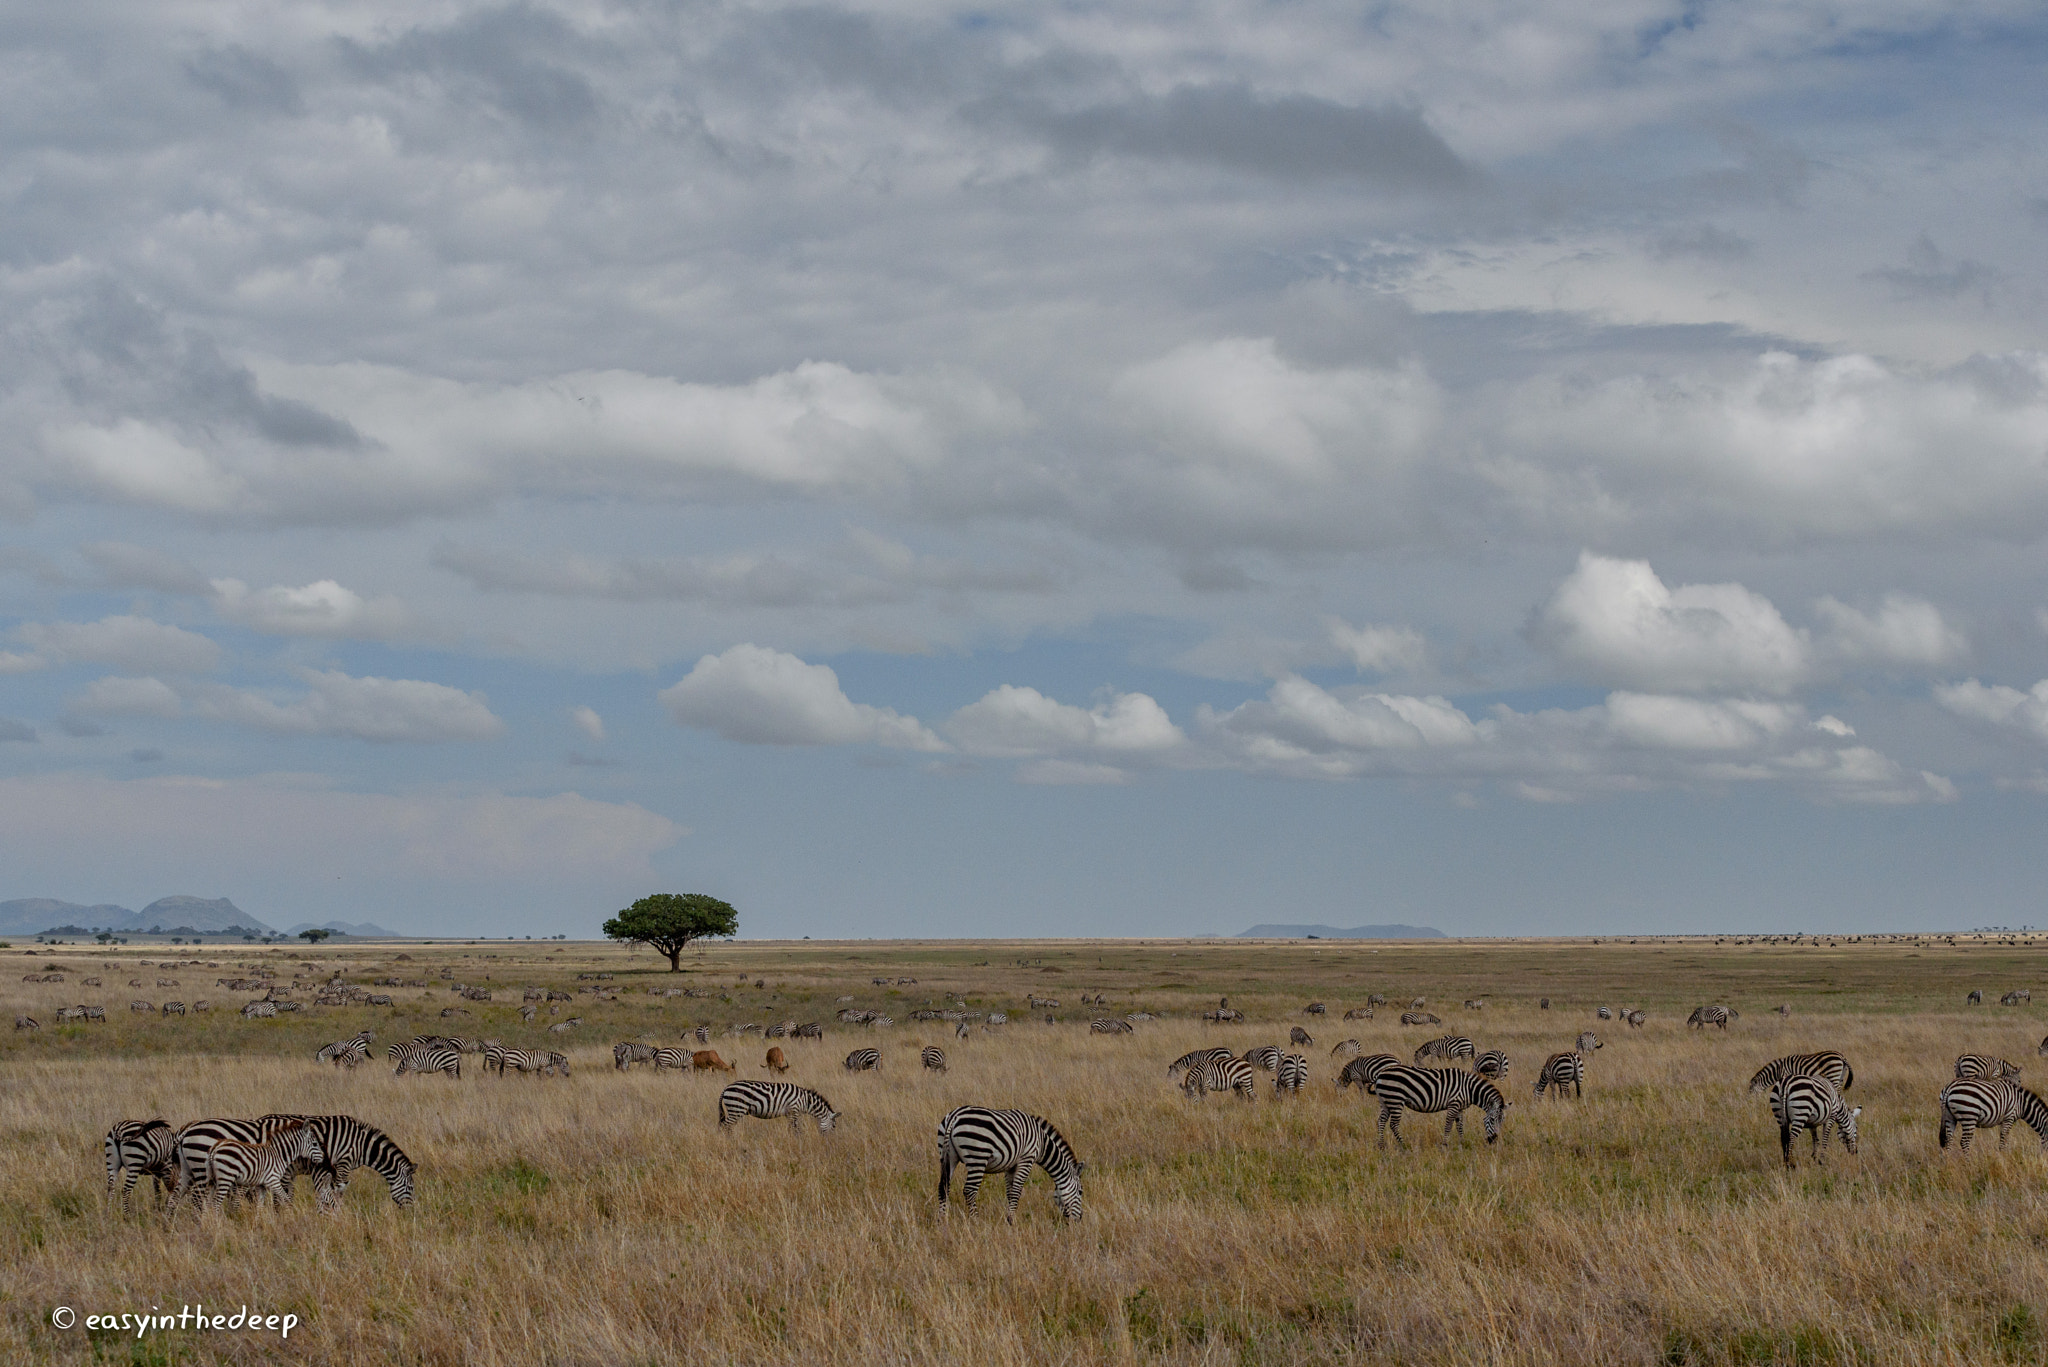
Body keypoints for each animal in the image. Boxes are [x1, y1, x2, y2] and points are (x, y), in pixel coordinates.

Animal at [933, 1106, 1081, 1221]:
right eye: (1080, 1192)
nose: (1080, 1219)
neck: (1042, 1143)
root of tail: (954, 1116)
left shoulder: (1011, 1165)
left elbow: (1010, 1192)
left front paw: (1008, 1218)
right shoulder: (1026, 1159)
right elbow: (1016, 1191)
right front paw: (1012, 1220)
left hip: (948, 1156)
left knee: (943, 1187)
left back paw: (942, 1220)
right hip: (977, 1156)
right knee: (969, 1190)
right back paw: (975, 1220)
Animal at [1376, 1065, 1507, 1147]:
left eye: (1502, 1121)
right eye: (1492, 1119)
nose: (1493, 1140)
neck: (1469, 1089)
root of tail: (1380, 1074)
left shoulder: (1460, 1107)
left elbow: (1460, 1126)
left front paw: (1462, 1143)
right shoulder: (1454, 1104)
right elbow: (1448, 1125)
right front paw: (1445, 1144)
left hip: (1385, 1102)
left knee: (1380, 1122)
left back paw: (1381, 1146)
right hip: (1396, 1100)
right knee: (1393, 1124)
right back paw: (1403, 1144)